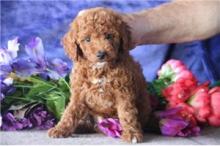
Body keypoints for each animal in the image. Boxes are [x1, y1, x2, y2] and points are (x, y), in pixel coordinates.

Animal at [48, 7, 151, 143]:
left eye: (109, 36)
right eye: (87, 39)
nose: (101, 54)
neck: (100, 69)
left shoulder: (124, 92)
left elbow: (127, 113)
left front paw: (132, 133)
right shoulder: (79, 93)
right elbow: (70, 111)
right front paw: (60, 129)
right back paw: (80, 127)